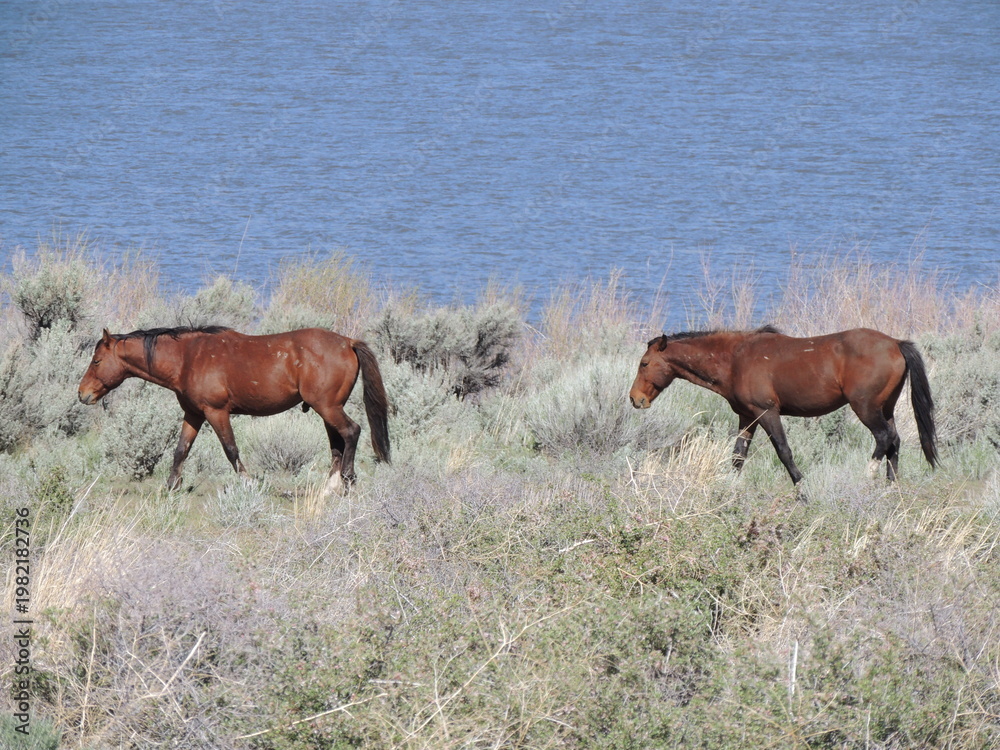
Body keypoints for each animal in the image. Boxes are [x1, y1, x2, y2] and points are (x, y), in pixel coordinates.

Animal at [78, 326, 391, 492]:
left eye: (96, 360)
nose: (83, 394)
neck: (188, 358)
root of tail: (348, 342)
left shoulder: (216, 412)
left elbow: (231, 450)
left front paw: (248, 483)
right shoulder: (194, 414)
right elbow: (181, 450)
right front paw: (171, 486)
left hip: (327, 407)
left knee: (351, 432)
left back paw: (346, 481)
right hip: (327, 409)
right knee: (338, 443)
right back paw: (329, 487)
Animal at [628, 326, 937, 486]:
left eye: (644, 363)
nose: (635, 399)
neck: (735, 358)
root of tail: (896, 343)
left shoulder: (767, 413)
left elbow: (784, 452)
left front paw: (802, 489)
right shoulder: (747, 417)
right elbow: (738, 456)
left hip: (866, 408)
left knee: (884, 437)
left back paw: (868, 476)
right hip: (886, 408)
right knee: (894, 442)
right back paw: (890, 487)